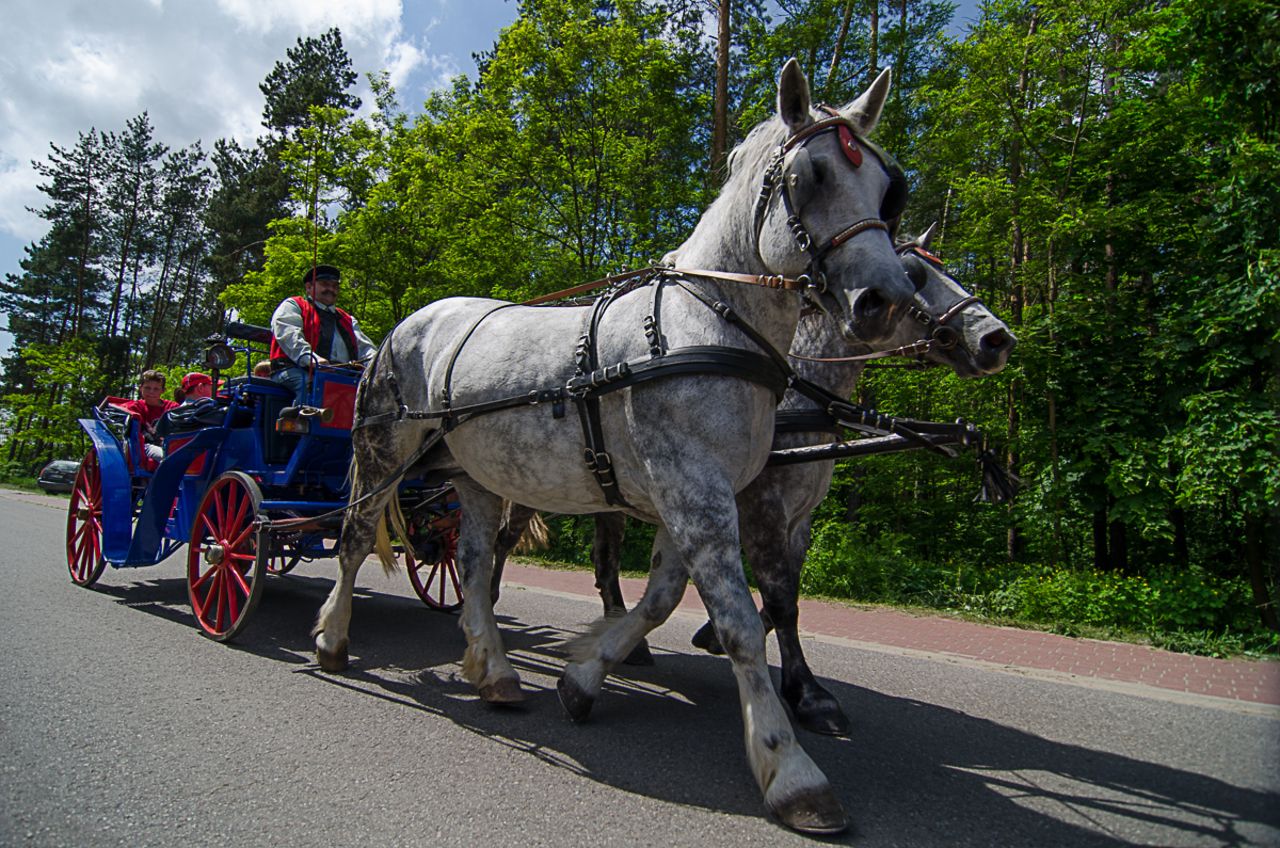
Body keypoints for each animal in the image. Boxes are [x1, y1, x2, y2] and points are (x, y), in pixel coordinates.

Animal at [309, 61, 911, 835]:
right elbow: (741, 624)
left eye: (889, 189)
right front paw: (790, 770)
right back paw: (332, 638)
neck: (706, 325)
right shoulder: (695, 490)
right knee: (355, 538)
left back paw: (496, 672)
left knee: (472, 565)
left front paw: (583, 676)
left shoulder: (692, 496)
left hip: (474, 473)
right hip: (384, 453)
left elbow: (660, 599)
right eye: (810, 175)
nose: (884, 300)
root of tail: (405, 324)